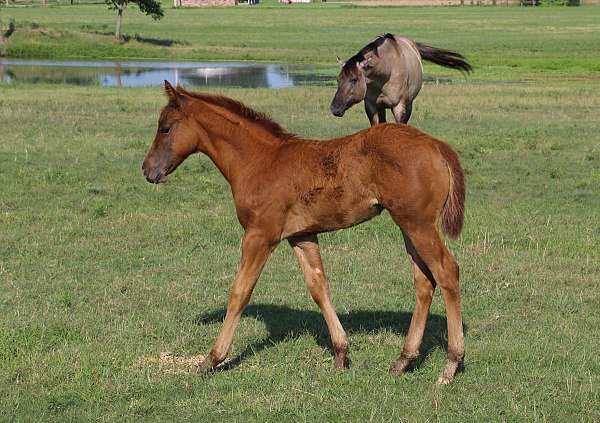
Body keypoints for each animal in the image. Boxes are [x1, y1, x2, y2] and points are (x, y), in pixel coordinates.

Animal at [143, 81, 466, 386]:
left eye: (165, 128)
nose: (148, 170)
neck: (261, 162)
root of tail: (436, 145)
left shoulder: (260, 235)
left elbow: (240, 291)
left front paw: (212, 359)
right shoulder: (301, 236)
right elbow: (318, 286)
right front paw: (341, 354)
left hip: (418, 224)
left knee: (446, 271)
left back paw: (450, 365)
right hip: (408, 225)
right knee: (424, 281)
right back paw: (403, 360)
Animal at [330, 33, 472, 125]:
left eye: (354, 80)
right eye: (338, 79)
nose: (335, 108)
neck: (387, 70)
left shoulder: (399, 107)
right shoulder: (371, 106)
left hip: (408, 104)